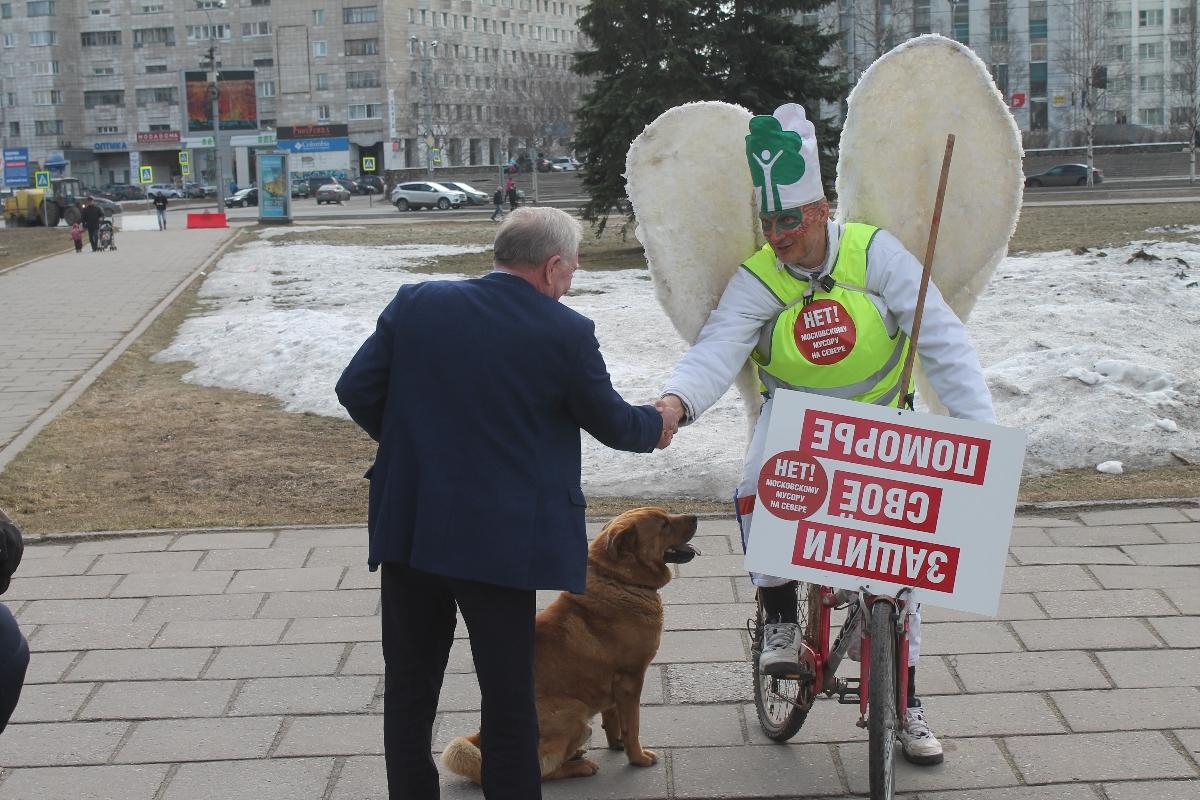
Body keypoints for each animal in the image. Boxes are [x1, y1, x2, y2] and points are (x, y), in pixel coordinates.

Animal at [446, 506, 700, 782]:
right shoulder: (630, 680)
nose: (695, 517)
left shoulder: (613, 683)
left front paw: (617, 743)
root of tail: (482, 736)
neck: (618, 579)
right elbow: (632, 725)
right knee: (544, 768)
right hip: (574, 712)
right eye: (664, 524)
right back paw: (580, 766)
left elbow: (613, 717)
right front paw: (638, 757)